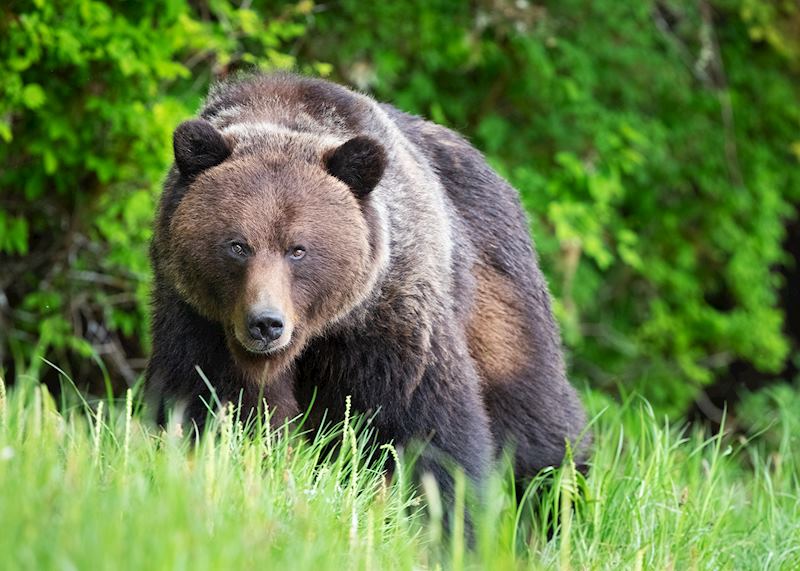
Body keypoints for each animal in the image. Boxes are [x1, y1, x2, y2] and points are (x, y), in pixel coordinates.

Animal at [145, 72, 589, 505]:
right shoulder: (199, 318)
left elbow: (427, 423)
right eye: (237, 245)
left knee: (534, 414)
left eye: (298, 249)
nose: (266, 323)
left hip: (497, 290)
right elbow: (213, 404)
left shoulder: (390, 314)